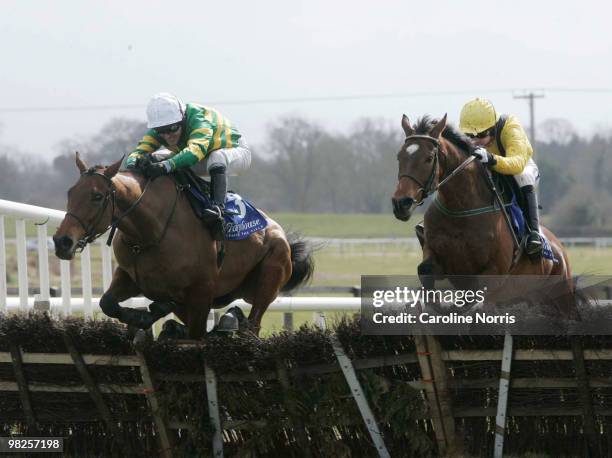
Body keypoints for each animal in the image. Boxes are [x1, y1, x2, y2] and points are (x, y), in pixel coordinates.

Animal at [51, 156, 316, 338]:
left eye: (97, 196)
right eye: (70, 192)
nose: (62, 241)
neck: (152, 232)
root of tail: (281, 234)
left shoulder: (202, 291)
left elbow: (196, 334)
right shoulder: (130, 276)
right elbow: (107, 302)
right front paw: (141, 316)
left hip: (268, 279)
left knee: (250, 327)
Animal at [392, 112, 580, 316]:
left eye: (429, 157)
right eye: (399, 157)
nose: (401, 203)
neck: (461, 210)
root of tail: (559, 247)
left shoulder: (494, 272)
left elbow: (473, 293)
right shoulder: (435, 256)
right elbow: (425, 270)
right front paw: (432, 305)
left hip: (562, 296)